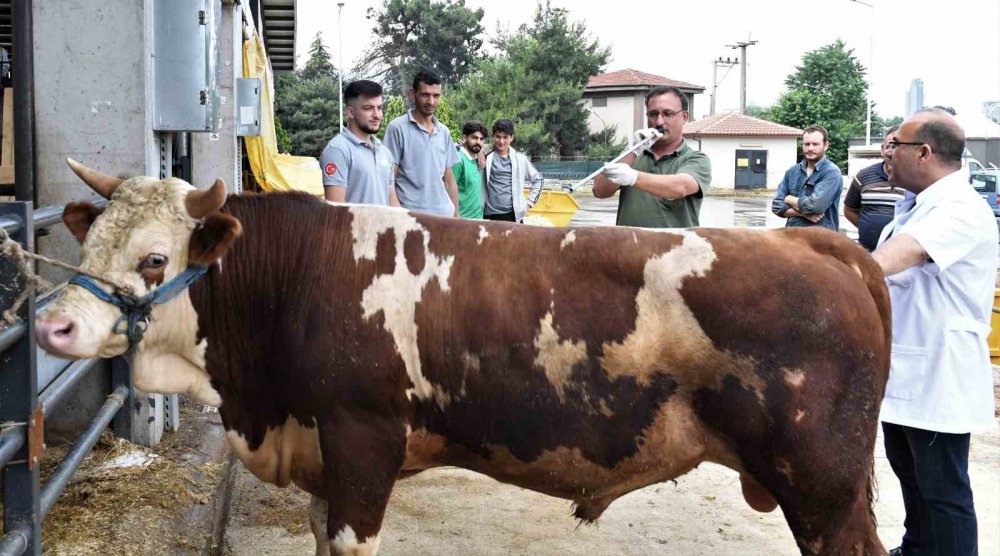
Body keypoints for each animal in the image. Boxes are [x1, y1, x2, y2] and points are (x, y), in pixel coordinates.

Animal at [37, 161, 892, 556]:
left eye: (154, 259)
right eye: (90, 241)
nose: (53, 327)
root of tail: (821, 246)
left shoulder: (362, 439)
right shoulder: (321, 453)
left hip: (822, 484)